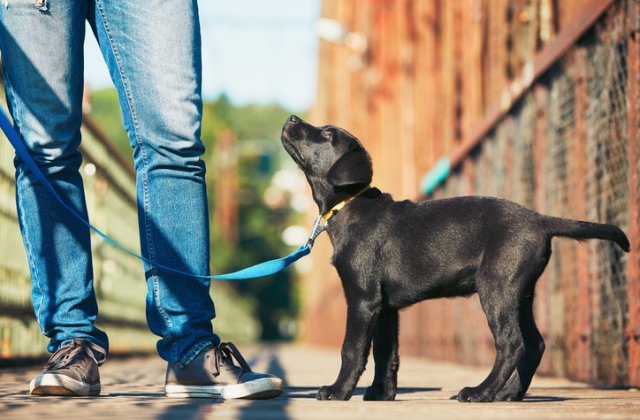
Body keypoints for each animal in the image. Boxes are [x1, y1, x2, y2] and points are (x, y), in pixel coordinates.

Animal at [282, 113, 632, 402]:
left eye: (327, 134)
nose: (291, 118)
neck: (350, 205)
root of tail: (540, 219)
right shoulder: (385, 308)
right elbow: (386, 353)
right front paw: (381, 394)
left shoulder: (362, 299)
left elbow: (352, 349)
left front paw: (338, 391)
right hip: (520, 293)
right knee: (534, 344)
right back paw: (509, 394)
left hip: (496, 288)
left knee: (512, 343)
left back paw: (481, 392)